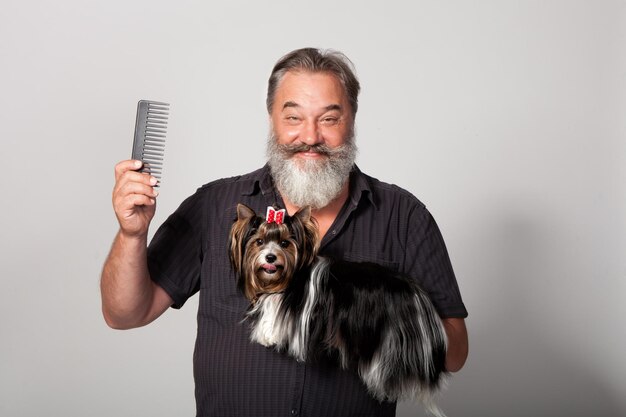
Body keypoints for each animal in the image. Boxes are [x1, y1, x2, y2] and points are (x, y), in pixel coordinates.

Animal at [229, 203, 448, 414]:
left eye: (284, 243)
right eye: (259, 242)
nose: (270, 257)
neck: (287, 279)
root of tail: (417, 295)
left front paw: (268, 332)